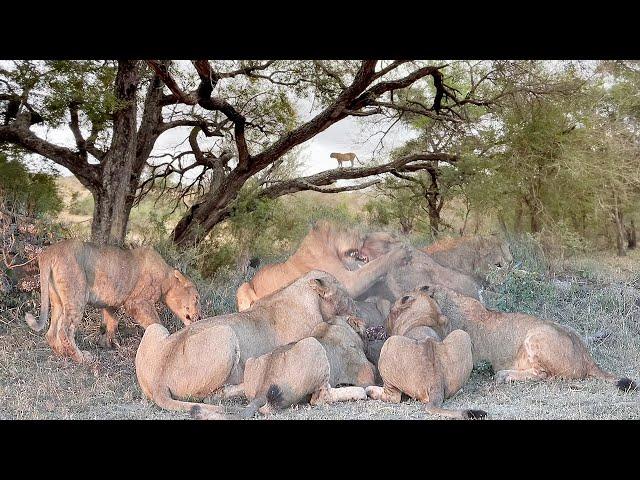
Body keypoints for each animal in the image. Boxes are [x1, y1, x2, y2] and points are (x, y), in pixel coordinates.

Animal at [25, 240, 200, 364]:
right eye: (197, 298)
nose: (199, 317)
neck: (167, 277)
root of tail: (50, 251)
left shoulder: (111, 303)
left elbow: (112, 322)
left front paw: (108, 343)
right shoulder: (137, 302)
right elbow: (155, 322)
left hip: (58, 300)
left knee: (51, 331)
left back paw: (62, 353)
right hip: (76, 296)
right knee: (65, 330)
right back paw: (81, 358)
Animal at [135, 270, 360, 416]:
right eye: (346, 295)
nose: (356, 308)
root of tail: (159, 381)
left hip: (155, 328)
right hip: (226, 333)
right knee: (210, 396)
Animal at [236, 220, 410, 312]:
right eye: (346, 230)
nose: (363, 236)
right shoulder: (348, 283)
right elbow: (377, 264)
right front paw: (402, 253)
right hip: (243, 287)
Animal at [364, 286, 484, 418]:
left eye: (391, 311)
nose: (384, 323)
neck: (423, 320)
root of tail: (436, 381)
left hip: (390, 344)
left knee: (393, 397)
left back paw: (370, 390)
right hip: (462, 334)